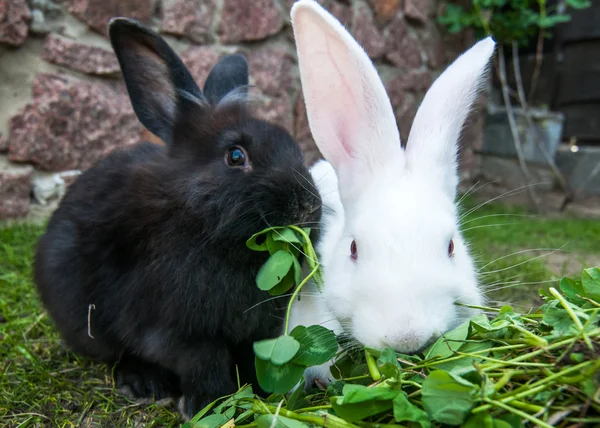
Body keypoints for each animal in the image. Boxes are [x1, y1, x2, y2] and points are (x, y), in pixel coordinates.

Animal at [32, 17, 322, 418]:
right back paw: (144, 384)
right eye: (235, 156)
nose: (307, 206)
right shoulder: (177, 331)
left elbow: (254, 357)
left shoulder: (260, 329)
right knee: (115, 354)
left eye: (292, 145)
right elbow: (203, 362)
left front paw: (264, 394)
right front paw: (209, 406)